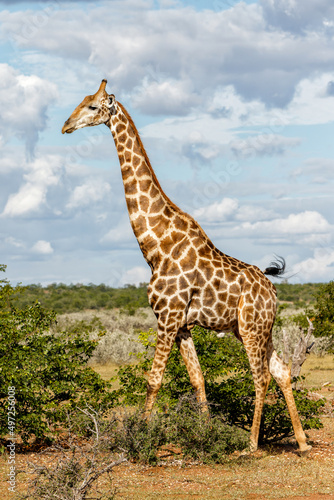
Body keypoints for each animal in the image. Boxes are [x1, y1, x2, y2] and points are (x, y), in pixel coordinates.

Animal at [62, 80, 310, 456]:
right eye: (82, 101)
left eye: (92, 106)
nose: (65, 125)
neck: (155, 245)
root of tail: (273, 290)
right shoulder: (180, 323)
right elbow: (197, 378)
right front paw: (206, 437)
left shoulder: (166, 316)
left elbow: (154, 379)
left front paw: (139, 441)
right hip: (255, 329)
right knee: (280, 369)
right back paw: (302, 441)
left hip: (251, 327)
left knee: (262, 375)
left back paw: (251, 444)